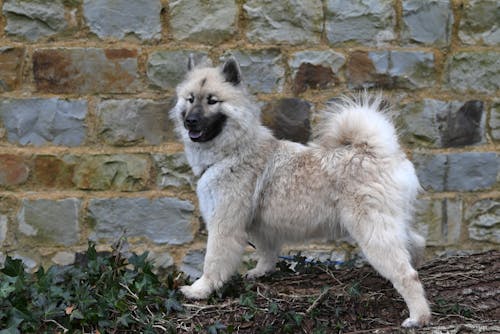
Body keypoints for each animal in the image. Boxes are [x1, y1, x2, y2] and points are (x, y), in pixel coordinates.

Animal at [170, 56, 432, 328]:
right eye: (190, 99)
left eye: (212, 101)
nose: (190, 121)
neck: (233, 150)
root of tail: (376, 151)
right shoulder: (260, 228)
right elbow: (267, 252)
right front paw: (261, 272)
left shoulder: (224, 225)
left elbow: (213, 262)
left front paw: (200, 290)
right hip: (389, 222)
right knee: (416, 243)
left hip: (371, 229)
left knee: (407, 274)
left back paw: (418, 316)